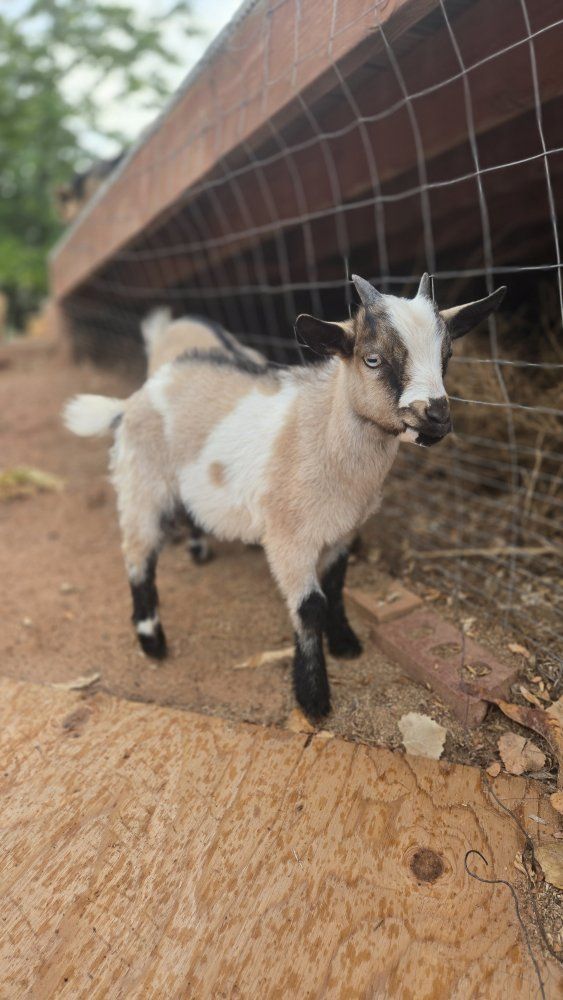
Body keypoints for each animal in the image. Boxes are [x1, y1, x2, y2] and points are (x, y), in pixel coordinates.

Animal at [63, 275, 506, 718]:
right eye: (373, 359)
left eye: (447, 355)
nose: (437, 416)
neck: (322, 434)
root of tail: (136, 398)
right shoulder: (289, 538)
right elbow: (310, 607)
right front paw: (313, 696)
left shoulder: (344, 531)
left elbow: (337, 586)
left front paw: (345, 643)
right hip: (142, 484)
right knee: (138, 556)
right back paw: (152, 640)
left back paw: (198, 550)